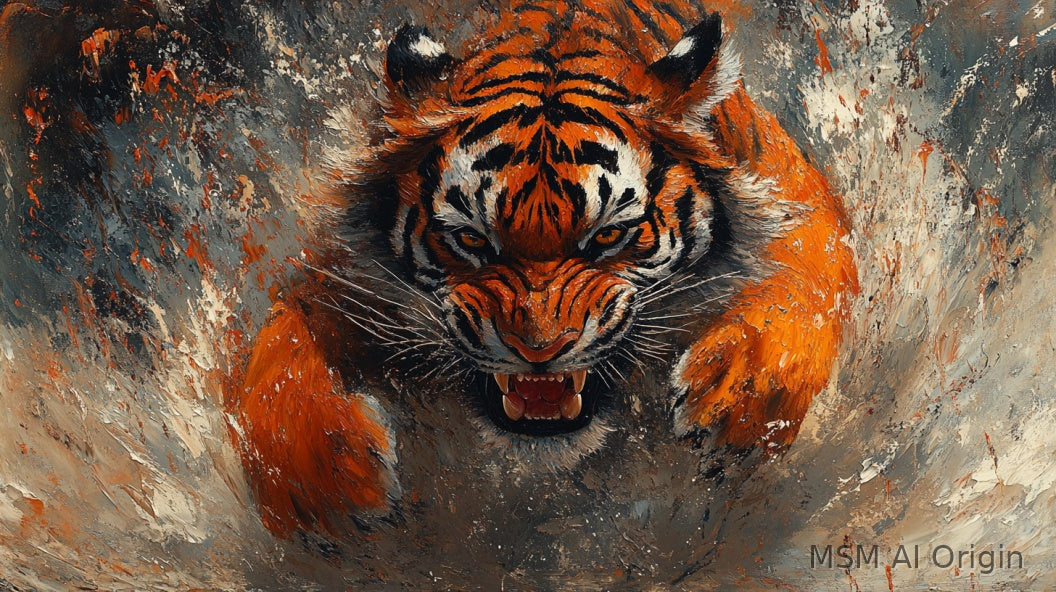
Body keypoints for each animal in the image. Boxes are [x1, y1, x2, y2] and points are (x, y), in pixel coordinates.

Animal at [227, 0, 859, 538]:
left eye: (608, 236)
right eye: (471, 239)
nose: (539, 351)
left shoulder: (804, 205)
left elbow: (803, 286)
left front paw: (739, 398)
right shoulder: (333, 277)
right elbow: (279, 354)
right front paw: (322, 480)